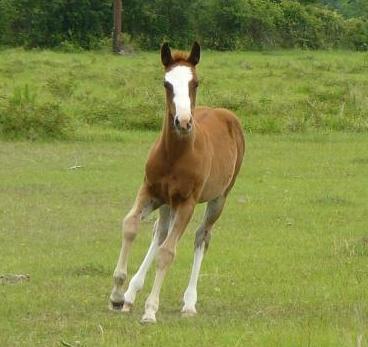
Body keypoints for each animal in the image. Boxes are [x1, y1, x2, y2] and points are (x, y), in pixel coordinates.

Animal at [110, 42, 247, 324]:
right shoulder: (149, 190)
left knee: (201, 236)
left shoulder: (187, 203)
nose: (183, 122)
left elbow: (168, 252)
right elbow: (130, 226)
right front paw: (117, 295)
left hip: (218, 198)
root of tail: (226, 114)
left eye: (195, 82)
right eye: (167, 83)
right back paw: (130, 294)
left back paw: (189, 303)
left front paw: (151, 310)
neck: (174, 155)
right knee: (159, 231)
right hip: (166, 202)